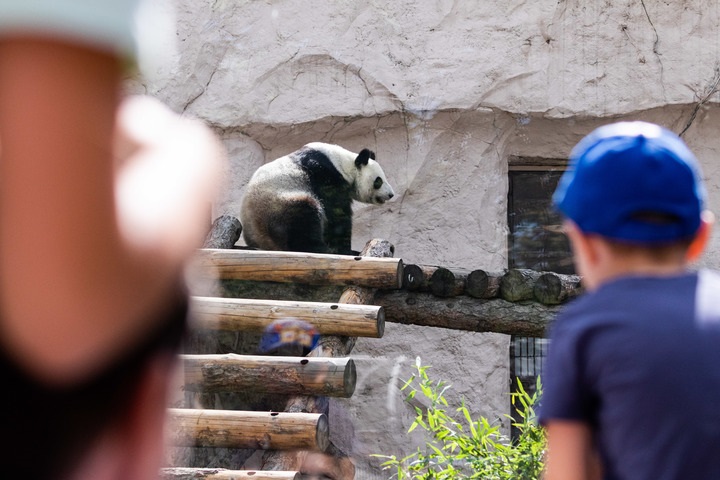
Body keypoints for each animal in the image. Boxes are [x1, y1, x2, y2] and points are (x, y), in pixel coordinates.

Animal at [240, 142, 394, 255]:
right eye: (378, 181)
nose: (391, 194)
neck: (343, 163)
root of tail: (260, 242)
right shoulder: (324, 175)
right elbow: (337, 215)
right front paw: (346, 250)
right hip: (278, 205)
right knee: (303, 218)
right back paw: (323, 249)